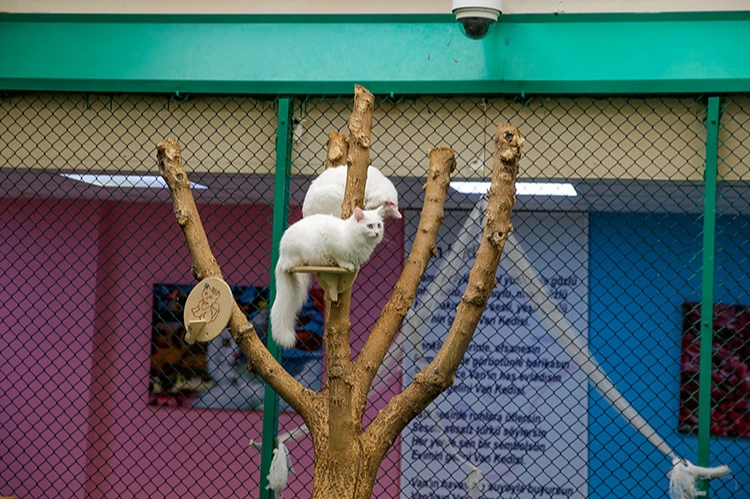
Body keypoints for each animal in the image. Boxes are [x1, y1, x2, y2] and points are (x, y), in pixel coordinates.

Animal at [270, 205, 390, 350]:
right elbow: (341, 259)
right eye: (370, 226)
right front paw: (347, 265)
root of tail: (282, 255)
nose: (377, 233)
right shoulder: (333, 244)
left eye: (379, 225)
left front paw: (355, 266)